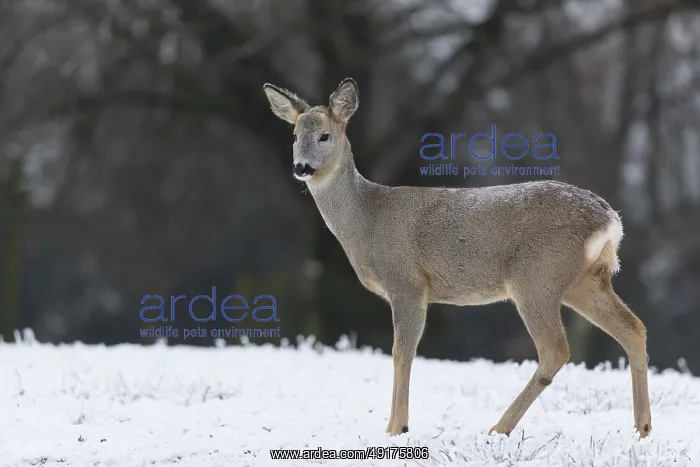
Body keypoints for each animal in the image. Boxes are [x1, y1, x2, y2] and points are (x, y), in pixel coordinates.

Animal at [263, 78, 652, 438]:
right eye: (294, 135)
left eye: (325, 136)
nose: (302, 167)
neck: (366, 220)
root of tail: (609, 219)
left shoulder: (407, 282)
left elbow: (401, 352)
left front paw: (396, 428)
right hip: (583, 281)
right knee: (633, 329)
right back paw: (642, 428)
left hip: (537, 277)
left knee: (556, 350)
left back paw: (499, 428)